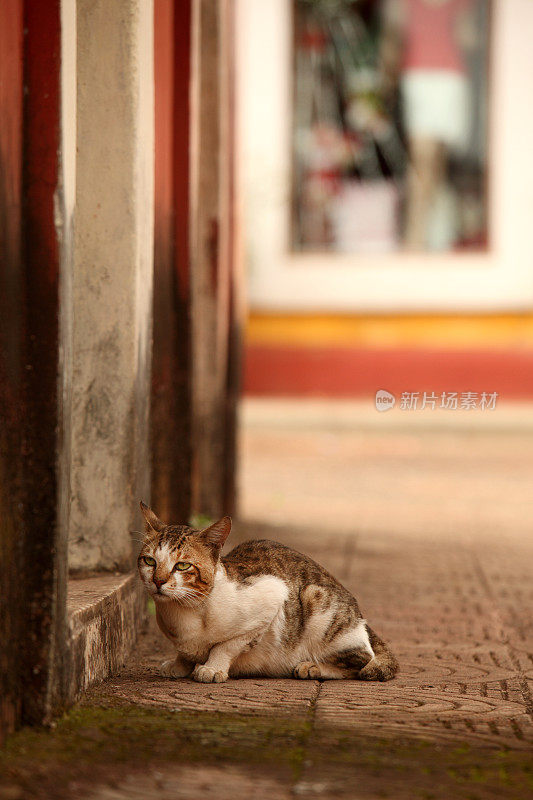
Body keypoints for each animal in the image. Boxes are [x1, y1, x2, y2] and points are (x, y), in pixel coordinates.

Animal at [137, 504, 400, 684]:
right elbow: (184, 653)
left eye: (182, 566)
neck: (183, 613)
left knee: (363, 659)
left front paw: (212, 667)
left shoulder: (271, 597)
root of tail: (361, 617)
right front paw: (179, 664)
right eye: (150, 561)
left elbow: (227, 646)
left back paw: (312, 667)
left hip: (315, 600)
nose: (158, 581)